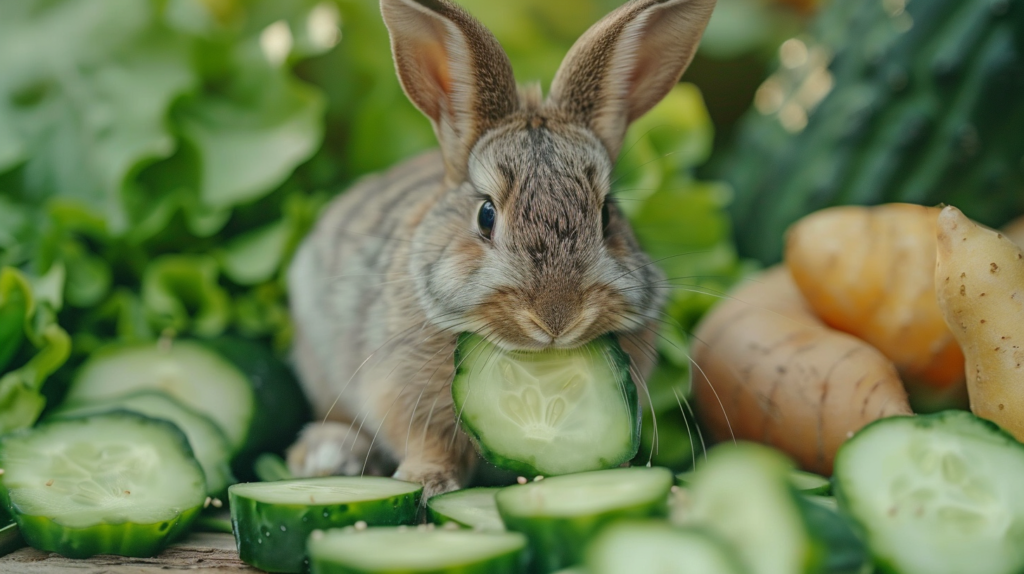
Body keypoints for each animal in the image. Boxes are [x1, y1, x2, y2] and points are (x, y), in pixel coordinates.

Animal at [286, 0, 720, 495]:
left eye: (607, 215)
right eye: (486, 216)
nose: (557, 317)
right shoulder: (398, 390)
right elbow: (426, 442)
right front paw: (427, 482)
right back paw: (327, 455)